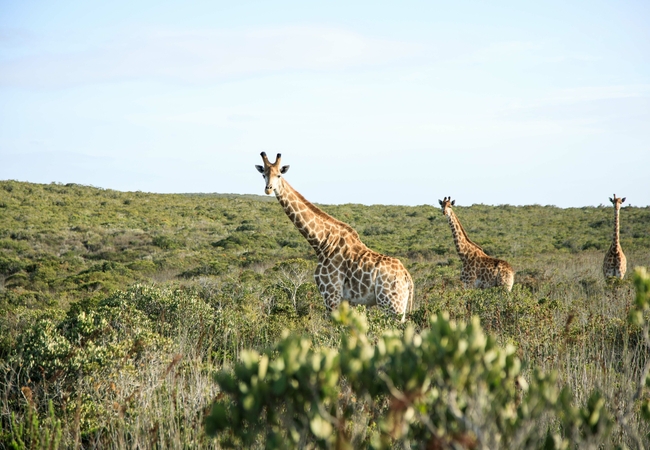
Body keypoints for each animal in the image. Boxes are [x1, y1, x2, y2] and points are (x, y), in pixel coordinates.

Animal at [254, 154, 412, 320]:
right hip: (398, 306)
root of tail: (407, 277)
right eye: (264, 174)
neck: (322, 242)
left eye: (279, 175)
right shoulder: (345, 300)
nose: (268, 189)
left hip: (391, 304)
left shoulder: (331, 293)